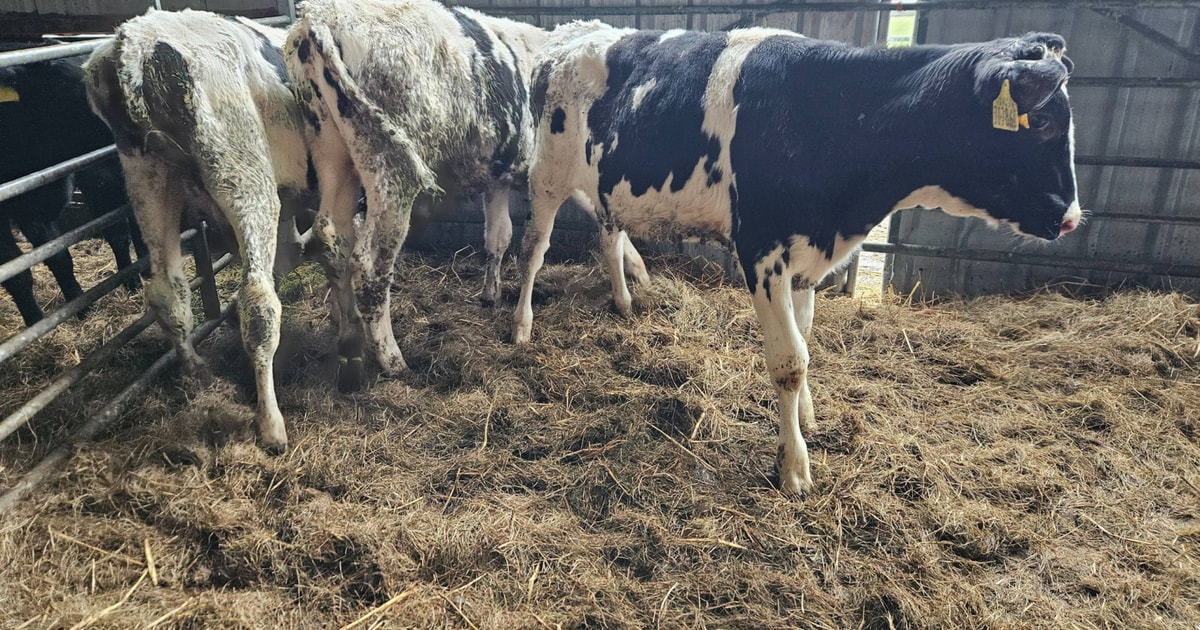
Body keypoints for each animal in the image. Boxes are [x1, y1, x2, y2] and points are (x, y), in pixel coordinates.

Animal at [84, 10, 313, 451]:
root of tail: (135, 43)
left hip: (147, 179)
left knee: (166, 292)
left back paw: (197, 372)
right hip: (243, 174)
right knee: (258, 301)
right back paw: (272, 425)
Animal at [284, 0, 648, 392]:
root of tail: (320, 17)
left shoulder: (498, 178)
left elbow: (498, 236)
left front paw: (491, 294)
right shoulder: (558, 170)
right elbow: (595, 218)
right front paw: (637, 272)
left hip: (333, 159)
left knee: (331, 239)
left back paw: (346, 335)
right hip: (390, 170)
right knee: (369, 264)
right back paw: (392, 359)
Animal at [512, 24, 1082, 495]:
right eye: (1043, 122)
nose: (1072, 218)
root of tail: (569, 36)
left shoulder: (810, 257)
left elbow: (807, 344)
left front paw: (806, 419)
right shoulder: (761, 253)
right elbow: (789, 361)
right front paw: (794, 467)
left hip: (606, 185)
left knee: (609, 236)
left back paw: (625, 303)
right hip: (547, 175)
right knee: (534, 250)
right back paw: (521, 325)